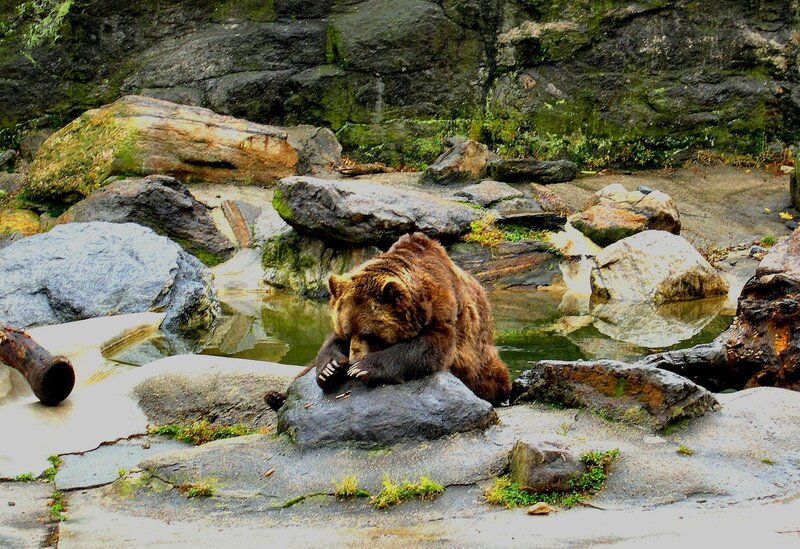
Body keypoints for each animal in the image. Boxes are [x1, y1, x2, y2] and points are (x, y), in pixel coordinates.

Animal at [265, 232, 512, 409]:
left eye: (369, 335)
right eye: (347, 333)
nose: (353, 359)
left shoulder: (443, 310)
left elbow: (429, 347)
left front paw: (363, 368)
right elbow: (327, 343)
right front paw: (330, 368)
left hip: (482, 362)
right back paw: (276, 397)